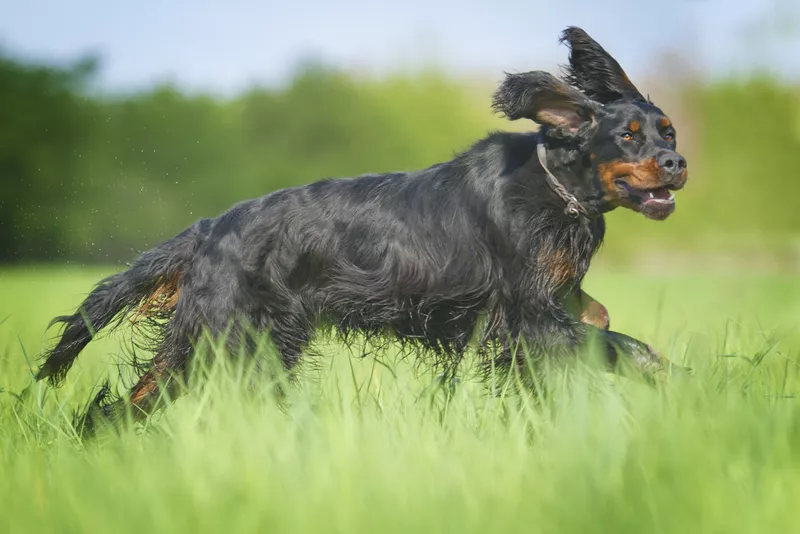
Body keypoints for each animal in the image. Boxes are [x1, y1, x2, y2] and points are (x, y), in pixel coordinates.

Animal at [36, 26, 688, 436]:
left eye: (669, 131)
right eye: (628, 135)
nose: (678, 163)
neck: (554, 189)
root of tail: (208, 229)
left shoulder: (544, 308)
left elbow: (596, 320)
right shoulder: (525, 315)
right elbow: (618, 343)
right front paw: (670, 377)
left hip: (213, 344)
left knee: (131, 402)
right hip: (237, 342)